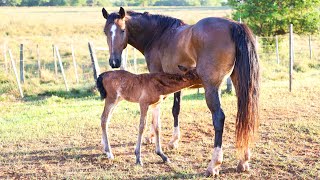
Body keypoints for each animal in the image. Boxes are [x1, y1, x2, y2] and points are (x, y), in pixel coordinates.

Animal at [102, 7, 260, 176]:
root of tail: (234, 25)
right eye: (105, 32)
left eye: (122, 30)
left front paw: (154, 138)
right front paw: (171, 140)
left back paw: (214, 164)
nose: (114, 62)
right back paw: (243, 160)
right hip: (240, 84)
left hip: (211, 88)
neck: (158, 34)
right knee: (245, 113)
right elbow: (175, 109)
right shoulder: (176, 84)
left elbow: (157, 110)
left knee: (219, 118)